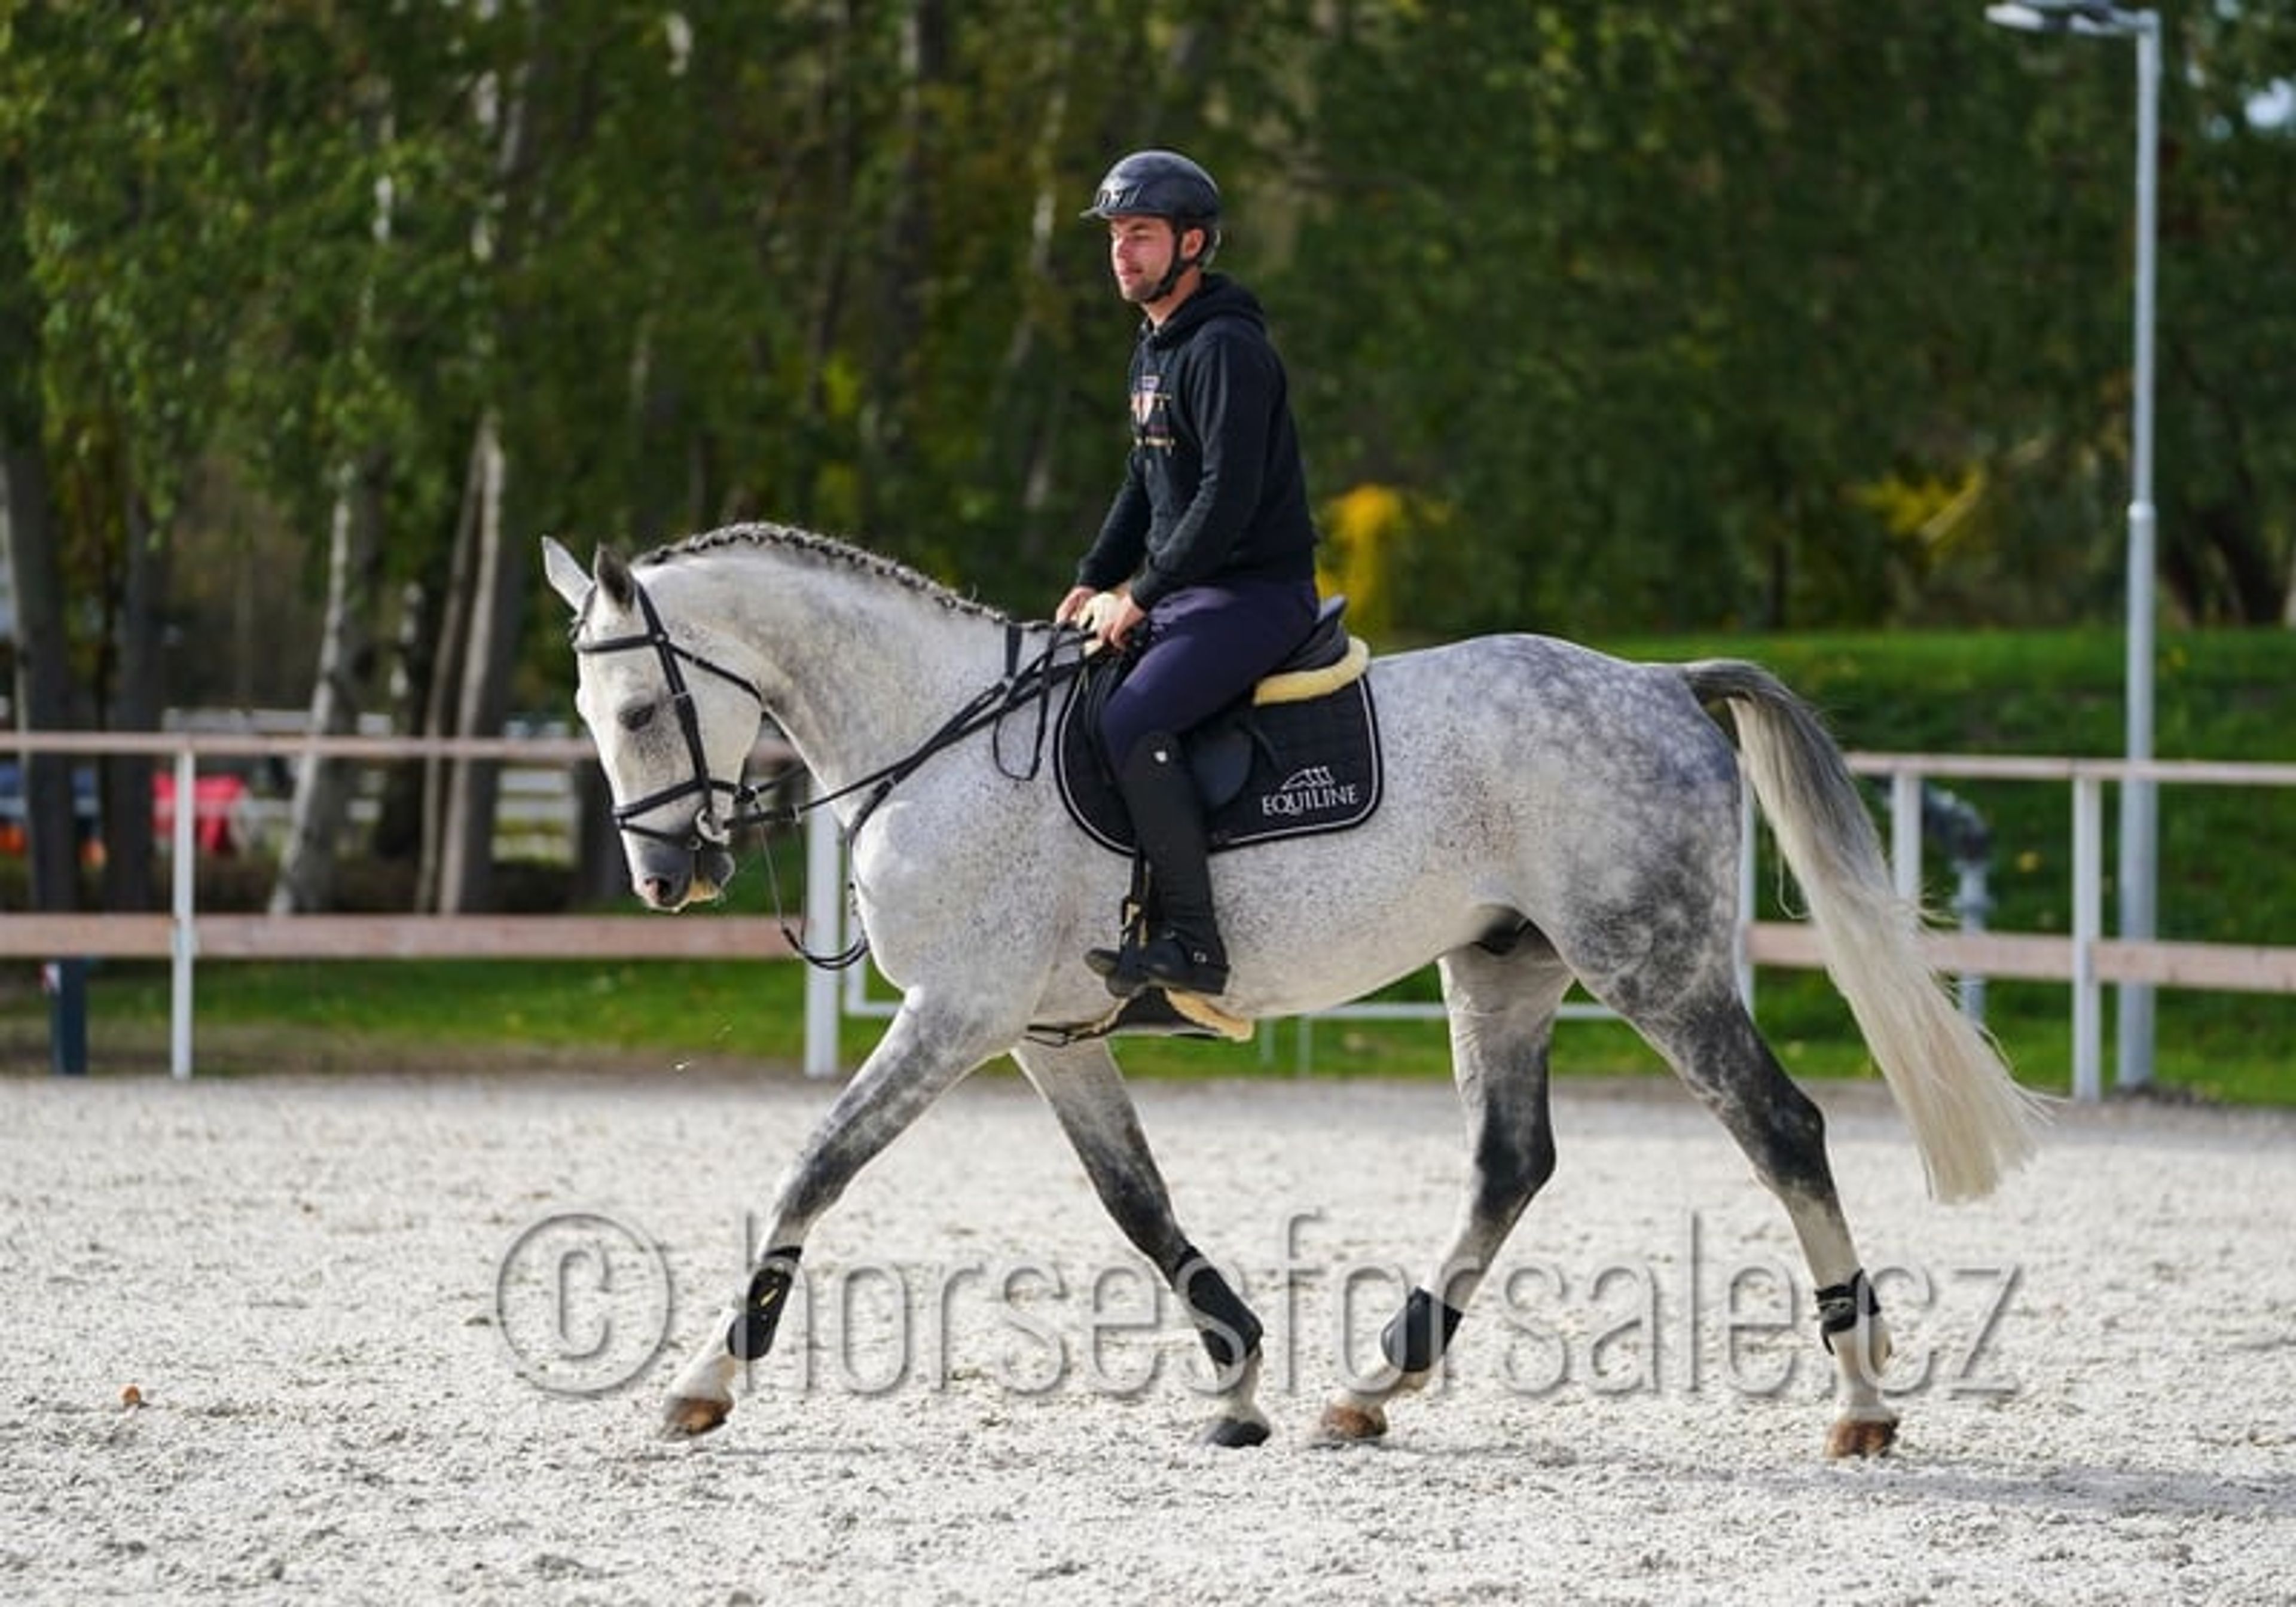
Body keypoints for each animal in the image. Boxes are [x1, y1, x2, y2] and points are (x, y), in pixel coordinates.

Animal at [541, 522, 2041, 1458]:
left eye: (638, 712)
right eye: (589, 719)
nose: (664, 877)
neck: (940, 739)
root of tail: (1663, 682)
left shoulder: (955, 1015)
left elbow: (815, 1166)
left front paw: (703, 1381)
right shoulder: (1044, 1034)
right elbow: (1136, 1201)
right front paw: (1243, 1373)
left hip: (1651, 961)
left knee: (1781, 1131)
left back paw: (1859, 1403)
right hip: (1504, 969)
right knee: (1510, 1163)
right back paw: (1374, 1386)